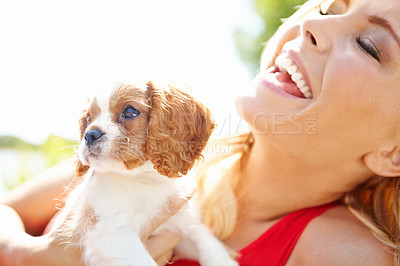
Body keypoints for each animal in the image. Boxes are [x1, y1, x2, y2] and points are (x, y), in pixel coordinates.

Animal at [49, 80, 238, 266]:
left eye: (129, 111)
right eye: (88, 117)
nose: (89, 135)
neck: (142, 177)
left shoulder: (180, 224)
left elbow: (207, 243)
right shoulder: (108, 232)